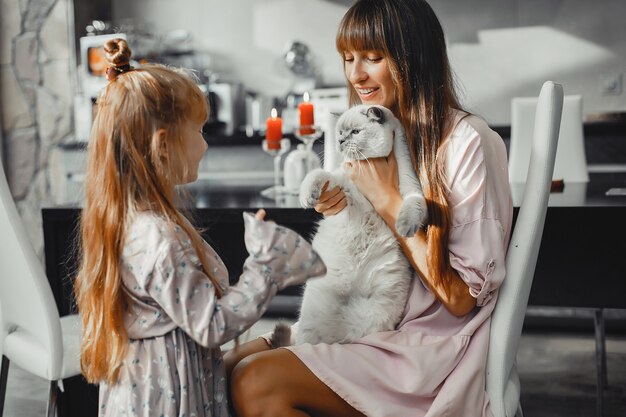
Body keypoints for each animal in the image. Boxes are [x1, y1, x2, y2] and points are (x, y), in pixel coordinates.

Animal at [274, 104, 428, 344]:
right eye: (339, 132)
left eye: (355, 132)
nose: (340, 142)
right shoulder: (339, 183)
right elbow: (316, 175)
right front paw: (308, 199)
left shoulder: (413, 193)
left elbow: (411, 209)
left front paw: (404, 229)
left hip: (372, 314)